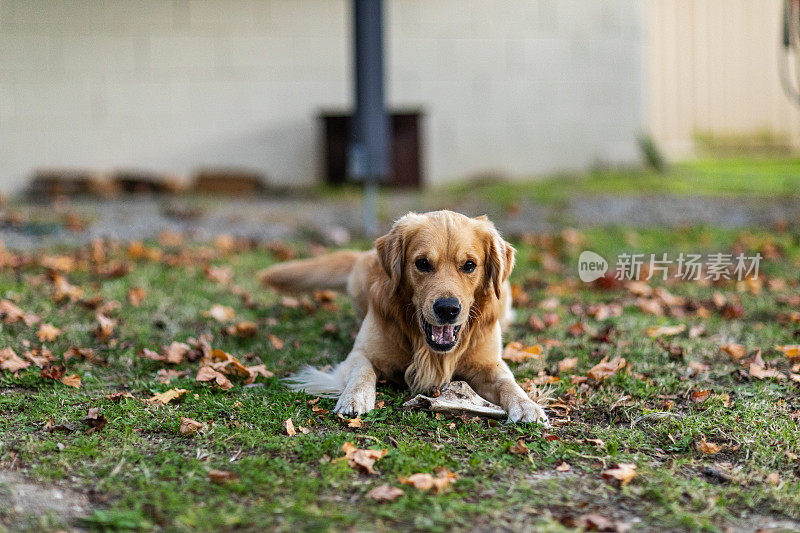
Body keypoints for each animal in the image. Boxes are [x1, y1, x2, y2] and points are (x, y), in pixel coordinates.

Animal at [262, 210, 552, 422]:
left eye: (469, 265)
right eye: (422, 263)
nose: (447, 309)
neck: (430, 350)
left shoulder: (489, 363)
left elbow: (507, 382)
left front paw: (526, 404)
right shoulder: (360, 354)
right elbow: (362, 371)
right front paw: (354, 398)